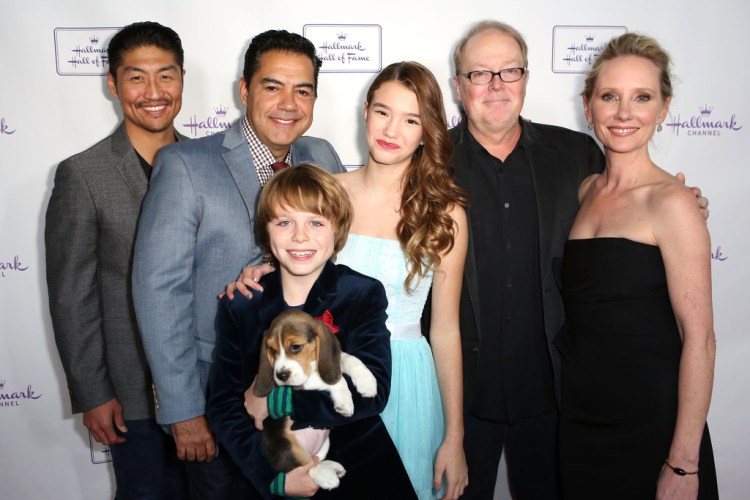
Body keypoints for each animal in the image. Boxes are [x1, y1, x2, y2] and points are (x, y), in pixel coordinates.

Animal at [254, 309, 378, 490]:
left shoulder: (330, 363)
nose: (280, 376)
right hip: (286, 446)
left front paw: (366, 381)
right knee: (300, 465)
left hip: (325, 444)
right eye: (272, 350)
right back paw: (326, 475)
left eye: (295, 347)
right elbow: (334, 380)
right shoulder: (300, 383)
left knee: (314, 459)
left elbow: (347, 358)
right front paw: (344, 401)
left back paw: (331, 467)